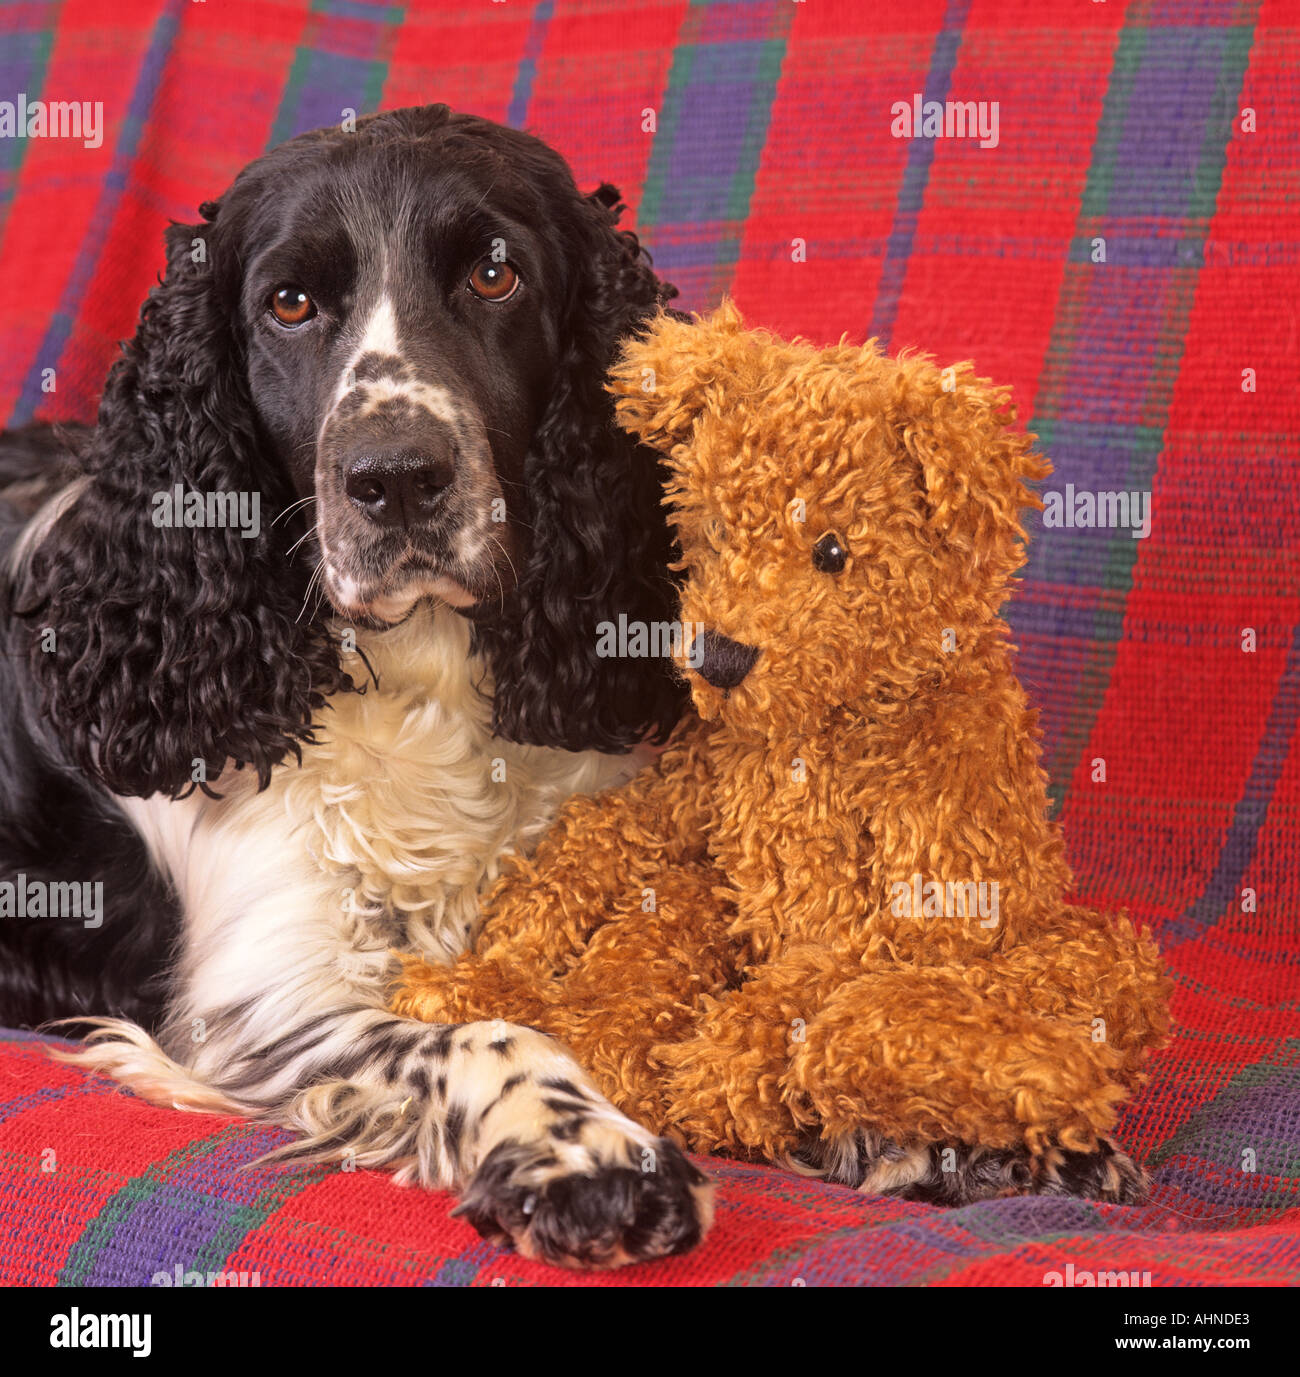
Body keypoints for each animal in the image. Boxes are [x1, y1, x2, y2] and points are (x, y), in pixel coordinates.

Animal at [0, 107, 710, 1266]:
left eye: (496, 274)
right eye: (289, 302)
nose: (397, 479)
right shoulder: (268, 988)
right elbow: (480, 1032)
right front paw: (586, 1151)